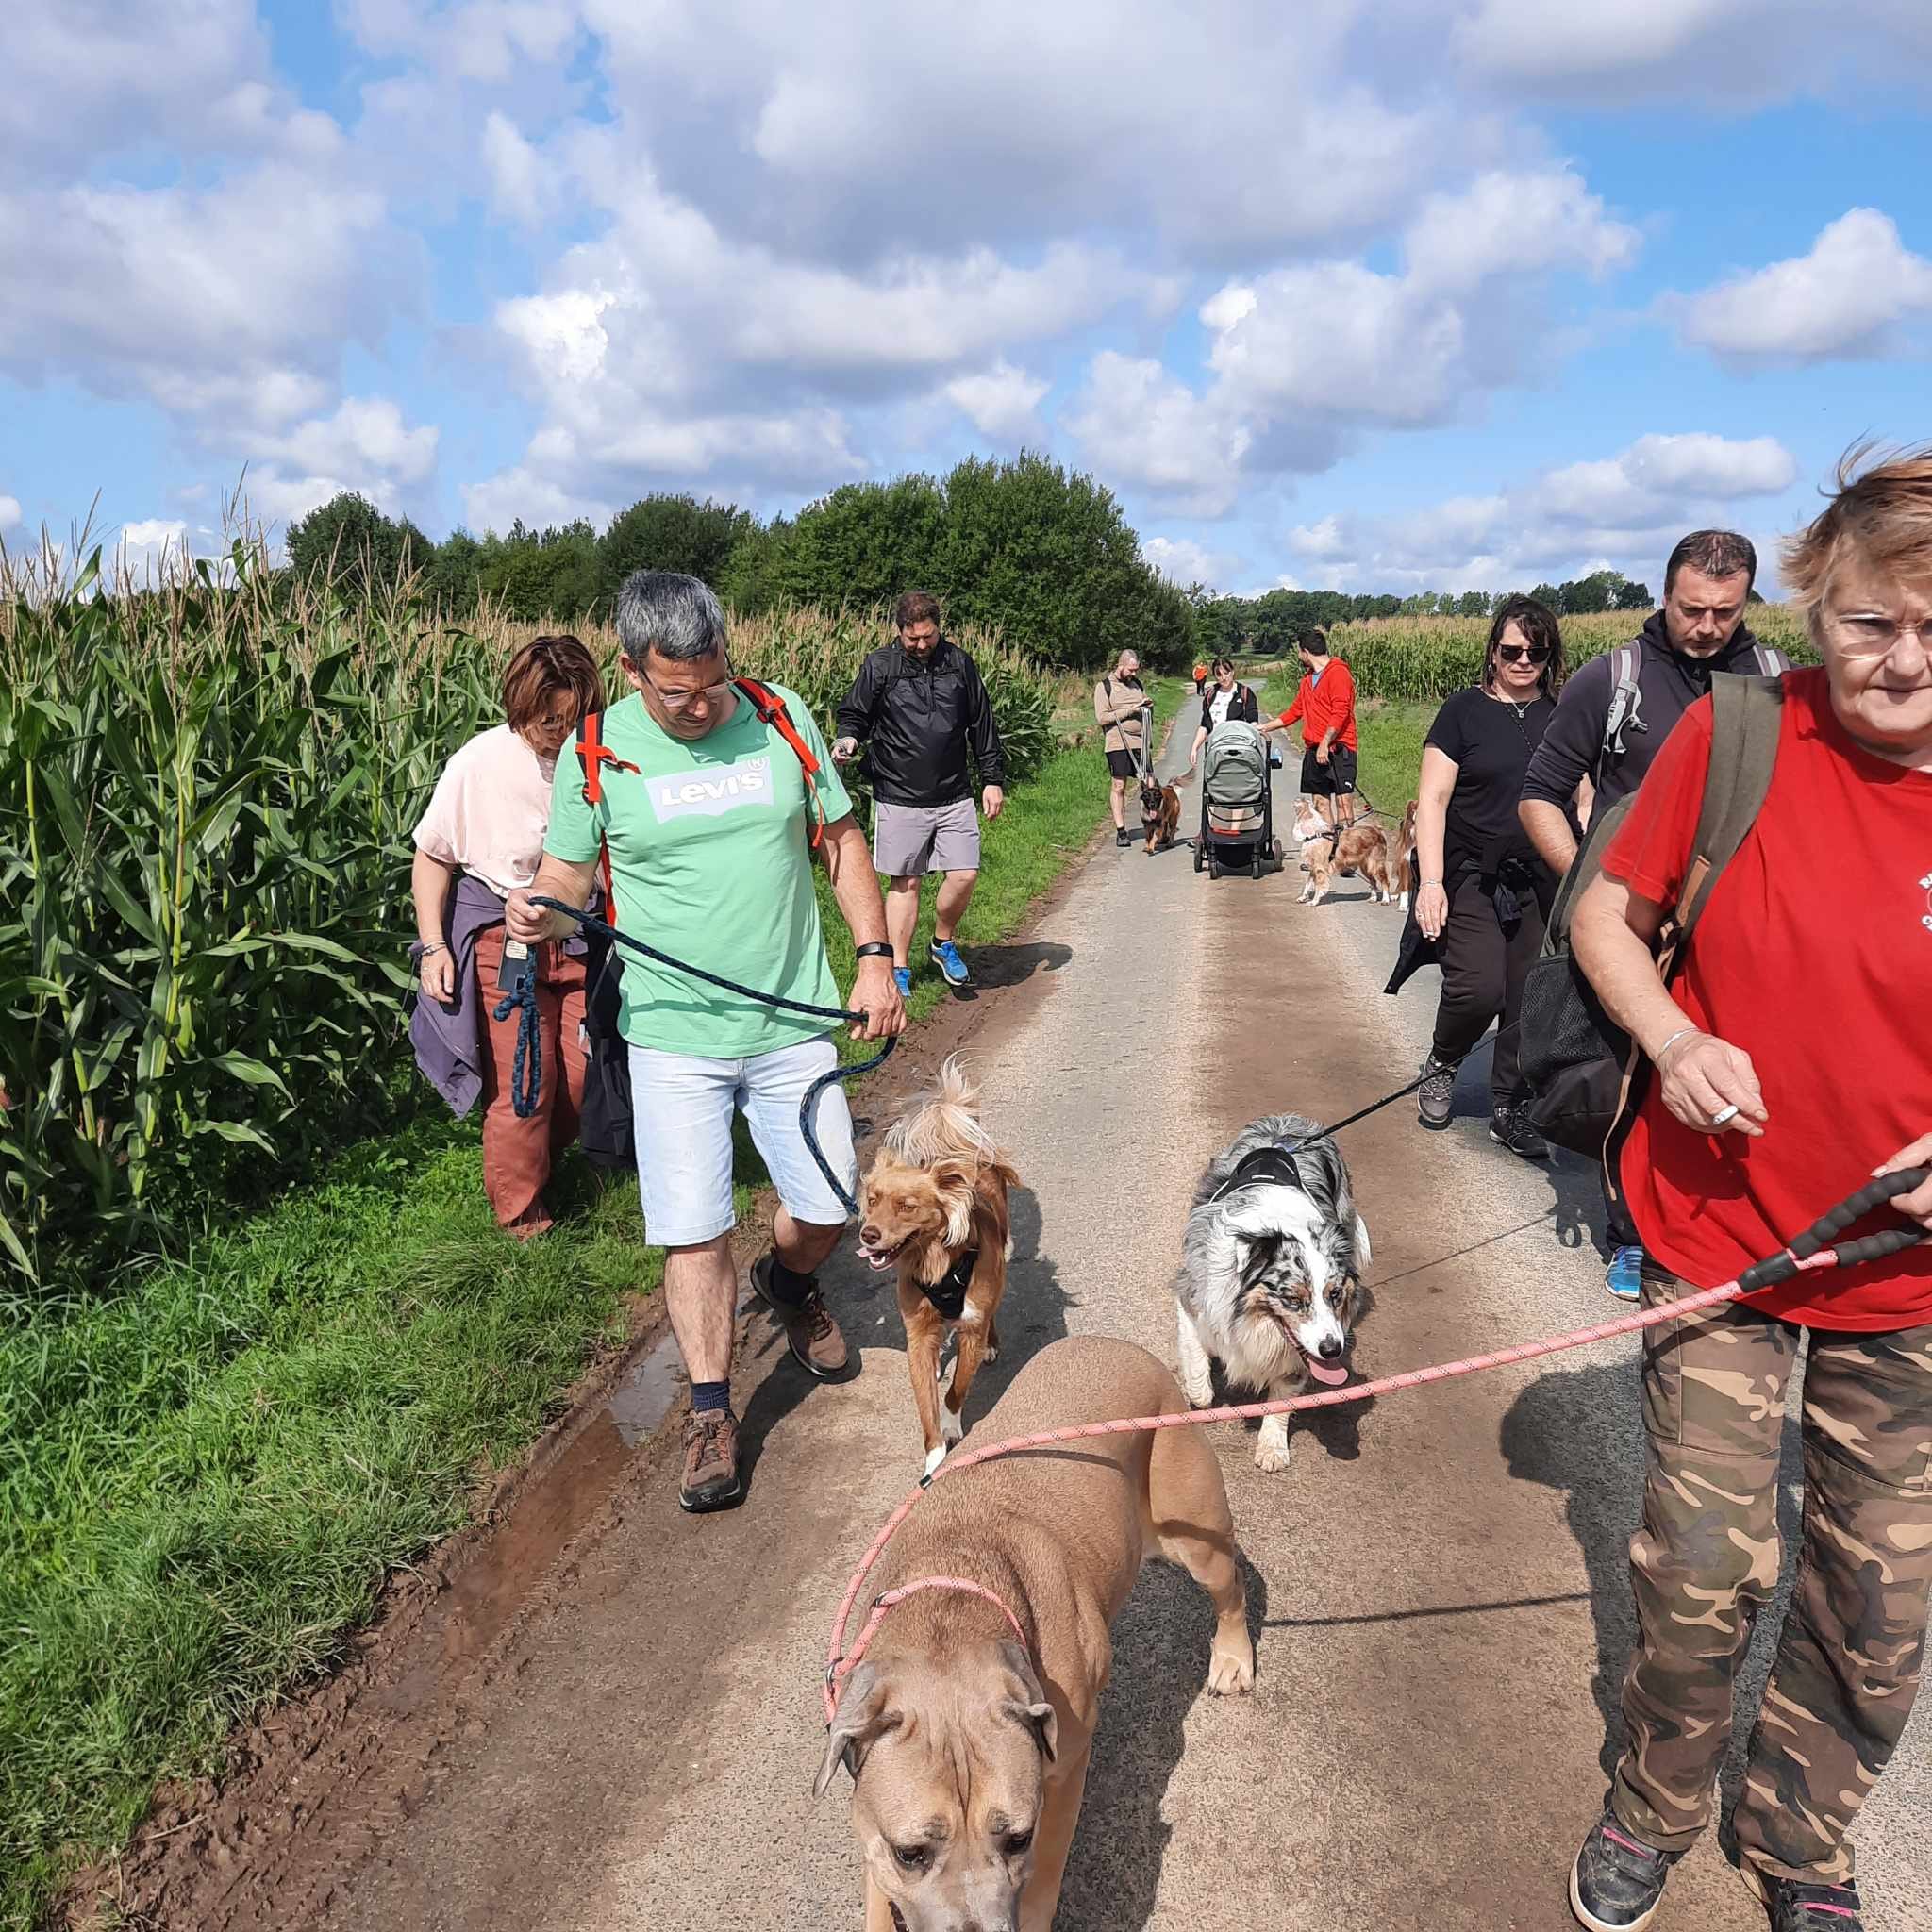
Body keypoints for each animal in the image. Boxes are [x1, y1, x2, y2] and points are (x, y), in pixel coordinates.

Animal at [815, 1337, 1252, 1924]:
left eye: (1017, 1839)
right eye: (910, 1853)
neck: (954, 1603)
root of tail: (1123, 1347)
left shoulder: (1063, 1778)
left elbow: (1046, 1874)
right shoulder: (875, 1836)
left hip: (1198, 1539)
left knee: (1232, 1590)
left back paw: (1233, 1658)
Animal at [854, 1066, 1020, 1468]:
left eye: (906, 1206)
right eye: (873, 1200)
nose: (868, 1234)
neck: (935, 1263)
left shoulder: (971, 1327)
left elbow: (956, 1389)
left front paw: (951, 1426)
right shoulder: (917, 1334)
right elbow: (925, 1403)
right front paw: (934, 1458)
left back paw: (991, 1344)